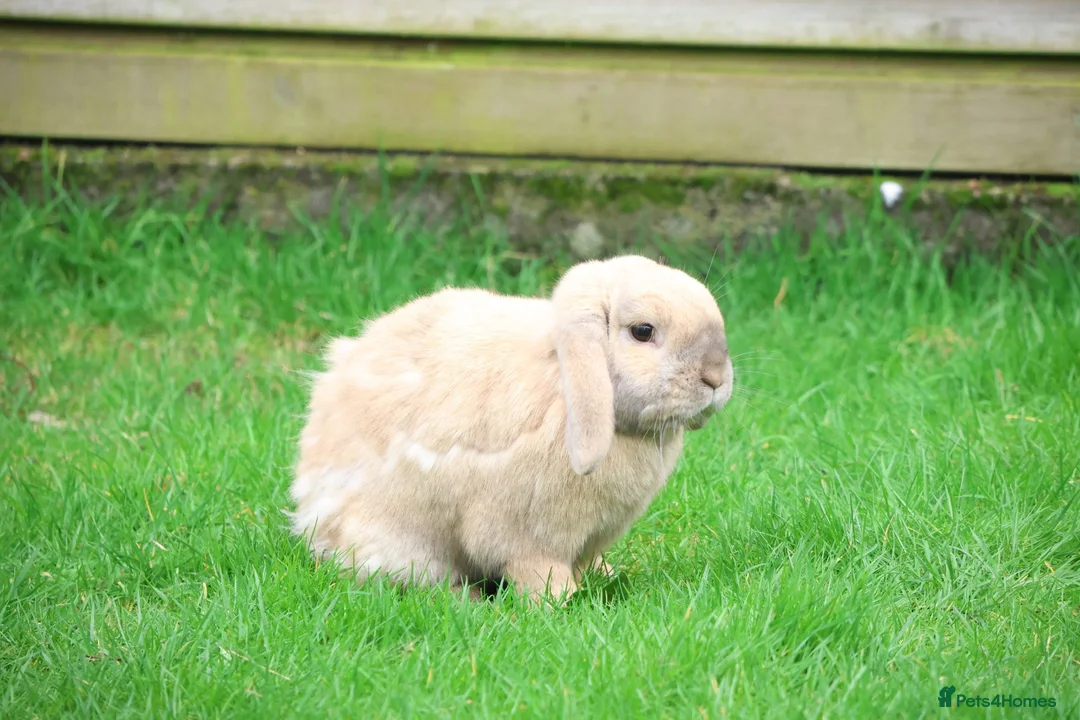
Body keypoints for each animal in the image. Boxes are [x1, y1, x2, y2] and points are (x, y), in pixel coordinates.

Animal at [289, 254, 734, 601]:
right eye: (643, 331)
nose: (715, 377)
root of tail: (312, 517)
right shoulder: (521, 534)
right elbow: (536, 569)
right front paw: (561, 601)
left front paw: (604, 578)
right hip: (402, 544)